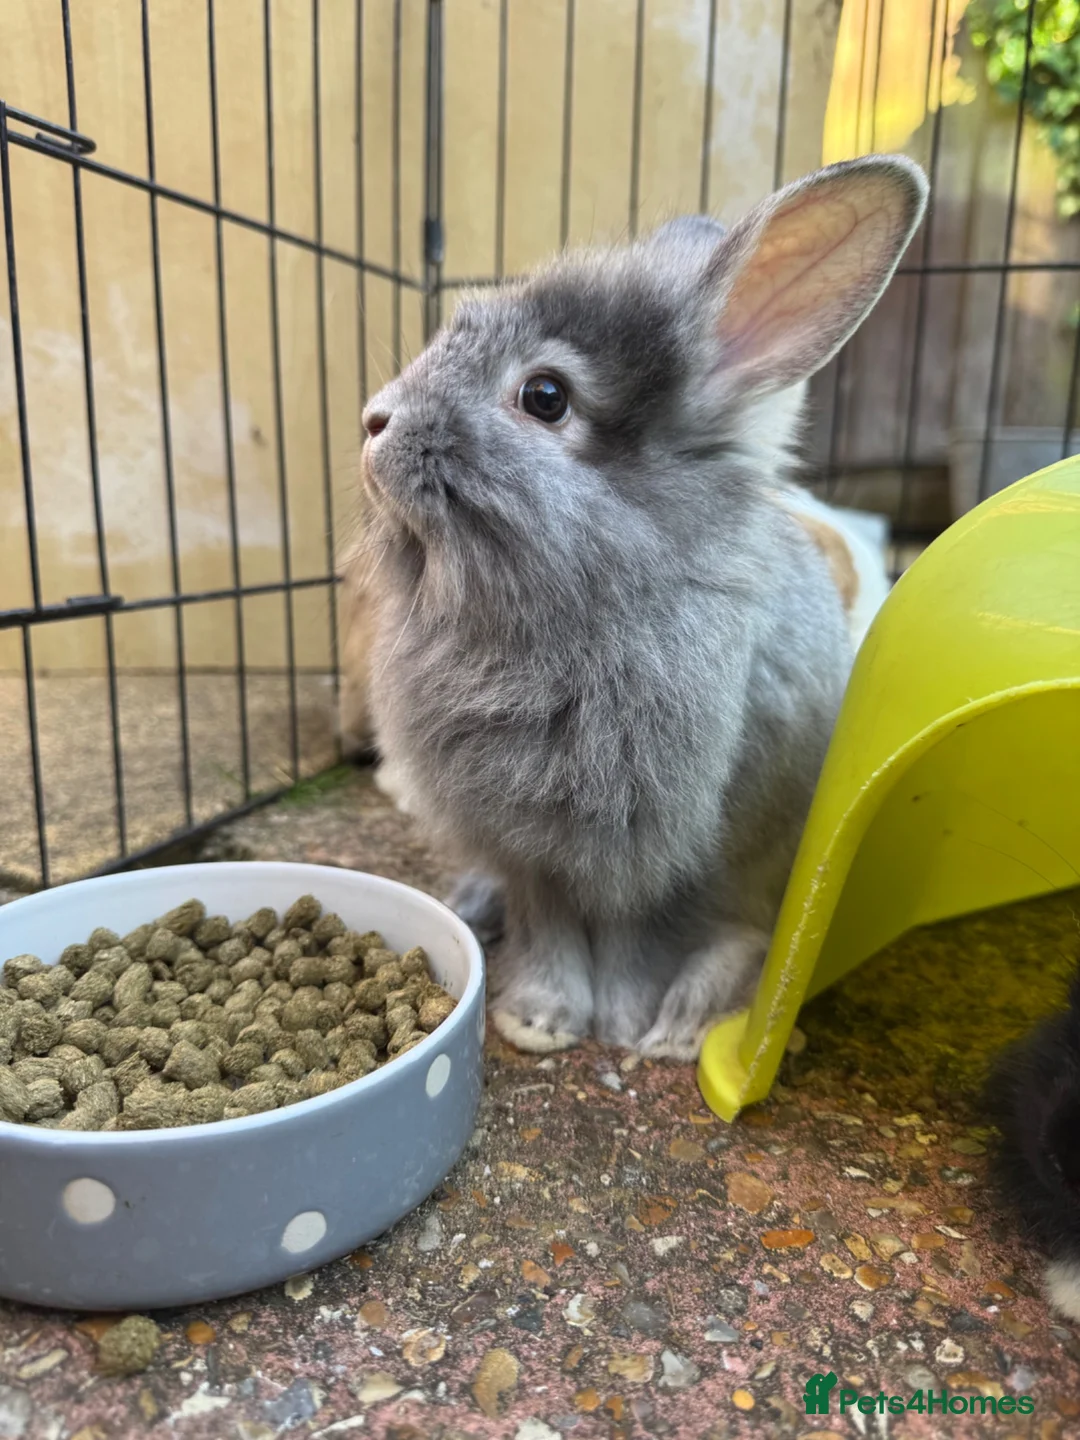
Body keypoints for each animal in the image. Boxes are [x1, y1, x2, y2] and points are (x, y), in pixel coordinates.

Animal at [354, 155, 928, 1059]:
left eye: (545, 396)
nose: (375, 420)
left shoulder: (667, 853)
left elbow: (639, 937)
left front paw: (625, 1026)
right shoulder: (529, 851)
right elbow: (547, 923)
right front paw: (538, 1022)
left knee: (750, 938)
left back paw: (688, 1026)